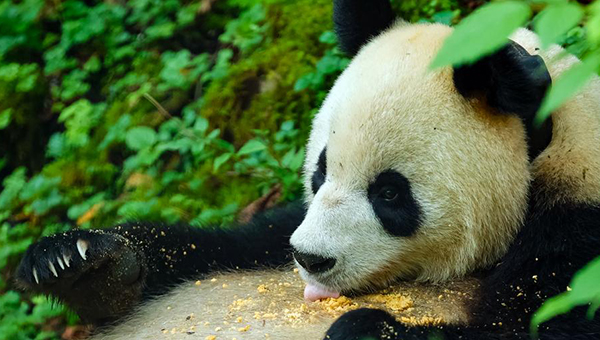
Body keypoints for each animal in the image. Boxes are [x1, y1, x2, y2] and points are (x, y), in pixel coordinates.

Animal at [12, 0, 600, 338]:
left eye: (390, 194)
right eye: (320, 172)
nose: (309, 259)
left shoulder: (577, 229)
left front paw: (367, 330)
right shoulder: (276, 231)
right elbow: (218, 246)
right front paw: (79, 262)